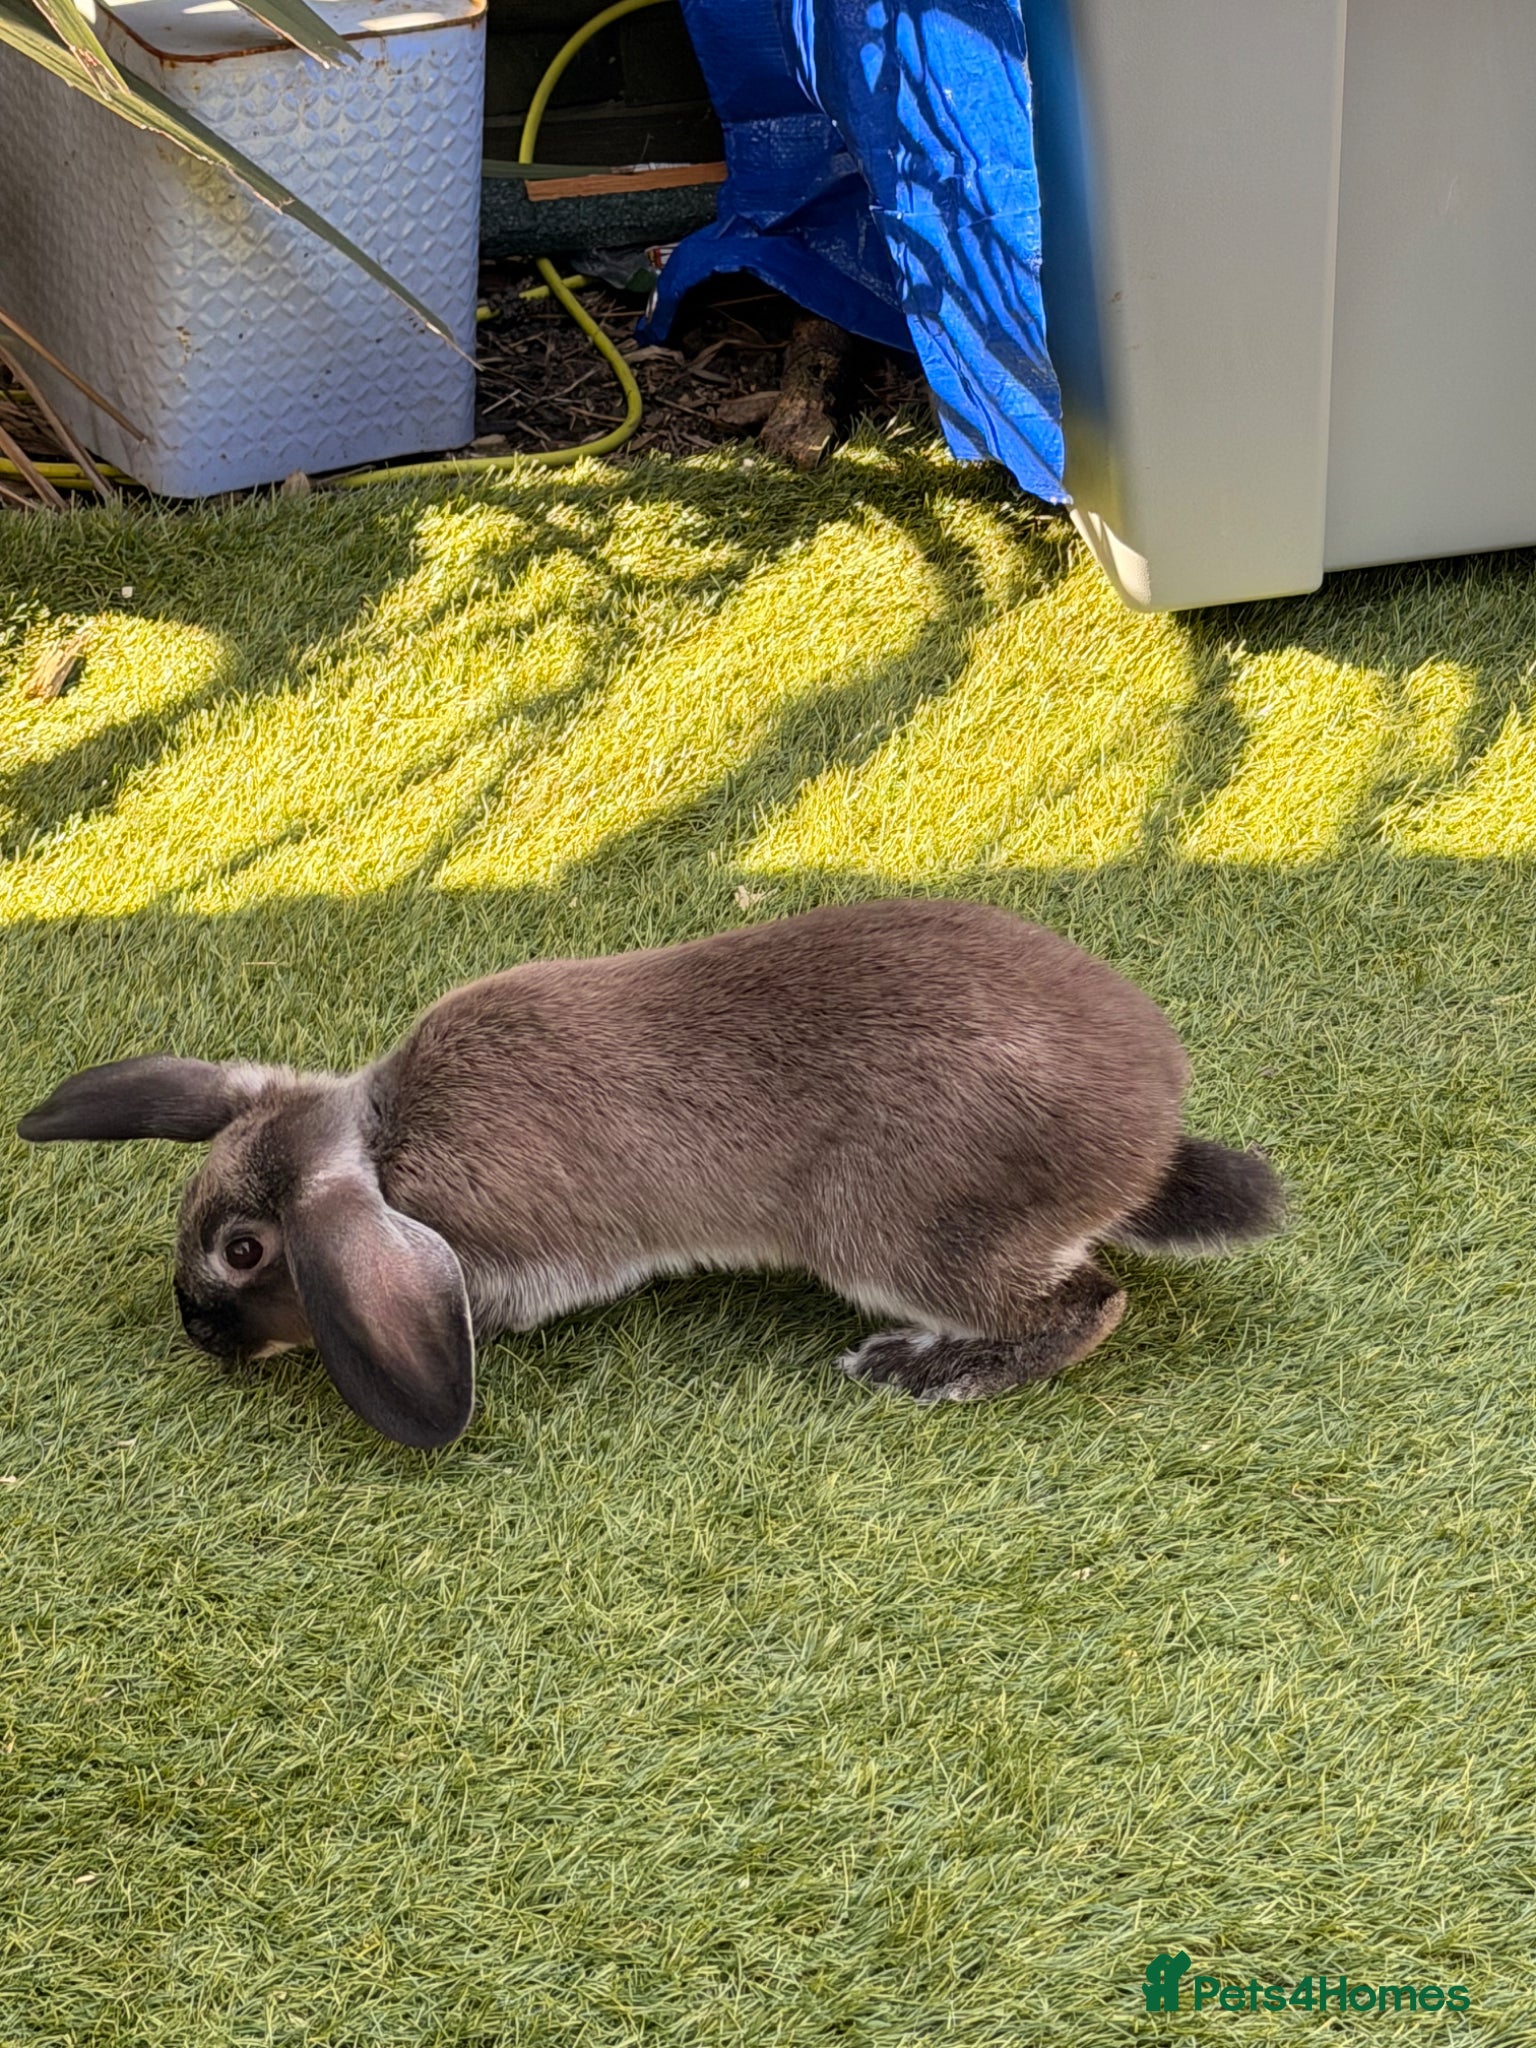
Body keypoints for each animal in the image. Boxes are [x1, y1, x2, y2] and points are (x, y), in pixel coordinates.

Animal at [16, 897, 1283, 1448]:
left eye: (245, 1251)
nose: (195, 1331)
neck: (377, 1143)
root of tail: (1144, 1138)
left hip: (897, 1235)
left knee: (1090, 1302)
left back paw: (929, 1370)